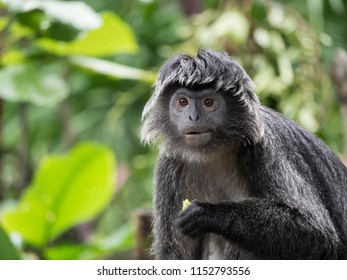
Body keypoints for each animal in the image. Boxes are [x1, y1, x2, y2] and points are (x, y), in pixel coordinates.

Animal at [140, 48, 347, 260]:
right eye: (182, 102)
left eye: (209, 102)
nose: (193, 117)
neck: (213, 153)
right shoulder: (168, 163)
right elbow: (174, 253)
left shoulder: (265, 148)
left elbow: (317, 234)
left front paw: (207, 212)